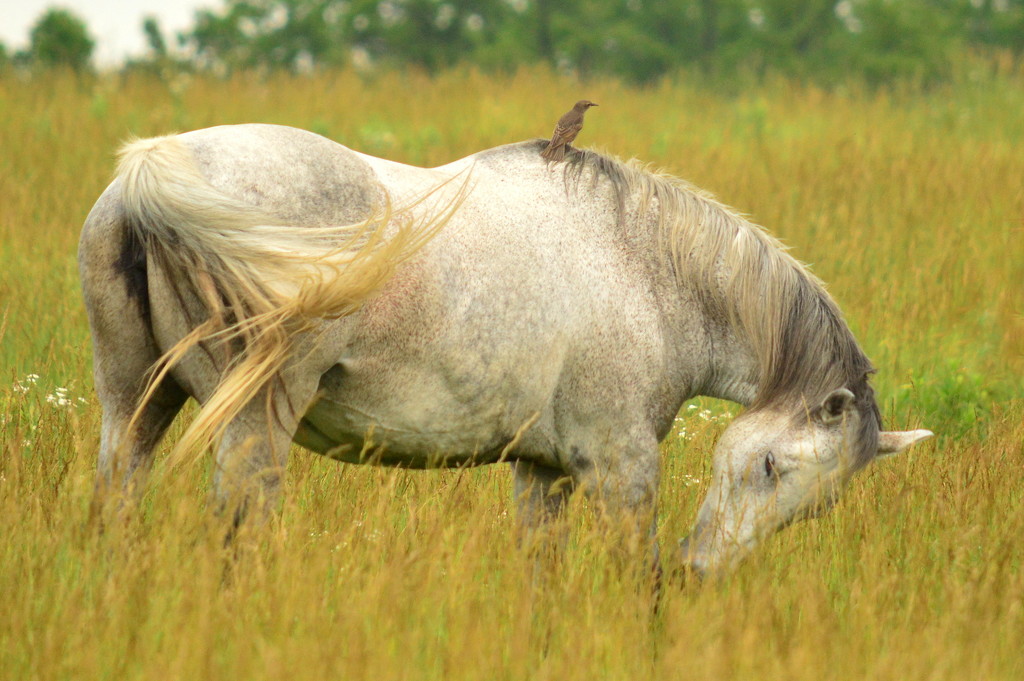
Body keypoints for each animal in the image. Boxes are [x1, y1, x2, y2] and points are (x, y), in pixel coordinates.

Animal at [75, 122, 933, 573]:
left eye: (816, 504)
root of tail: (153, 173)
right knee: (238, 529)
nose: (701, 569)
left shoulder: (541, 472)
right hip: (254, 424)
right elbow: (635, 577)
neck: (643, 263)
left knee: (118, 497)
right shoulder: (621, 466)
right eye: (769, 465)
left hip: (135, 405)